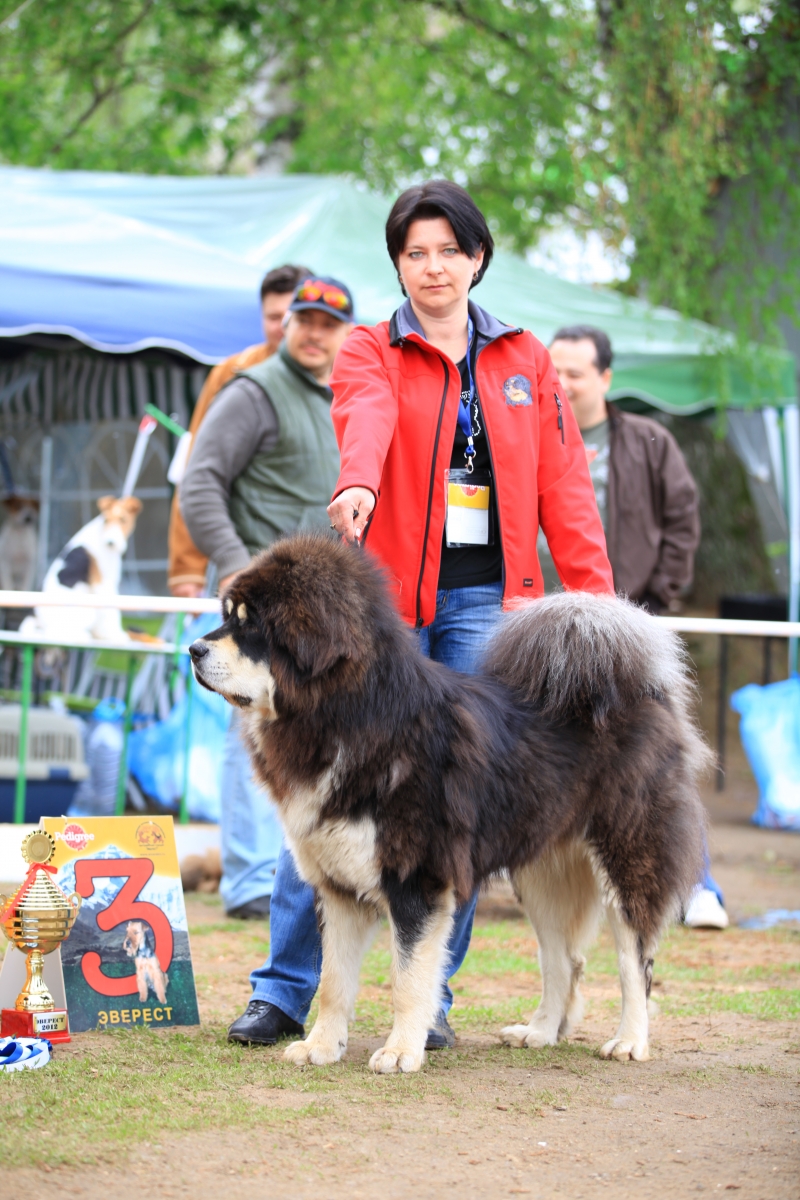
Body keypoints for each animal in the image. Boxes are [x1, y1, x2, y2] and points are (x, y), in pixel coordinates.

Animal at [21, 494, 143, 643]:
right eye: (106, 520)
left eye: (123, 519)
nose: (110, 542)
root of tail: (33, 615)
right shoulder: (103, 582)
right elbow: (111, 612)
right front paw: (116, 635)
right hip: (86, 612)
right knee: (52, 633)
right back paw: (83, 636)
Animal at [190, 540, 710, 1075]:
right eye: (229, 617)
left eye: (252, 625)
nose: (193, 650)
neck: (352, 714)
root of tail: (641, 688)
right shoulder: (339, 886)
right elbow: (334, 980)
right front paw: (322, 1046)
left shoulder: (416, 879)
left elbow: (408, 979)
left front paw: (401, 1051)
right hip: (541, 873)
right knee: (562, 959)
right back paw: (541, 1032)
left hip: (627, 863)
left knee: (635, 963)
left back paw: (629, 1040)